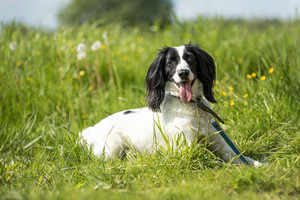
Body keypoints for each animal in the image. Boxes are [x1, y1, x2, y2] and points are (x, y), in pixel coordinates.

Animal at [81, 44, 262, 167]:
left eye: (190, 58)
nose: (183, 73)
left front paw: (262, 165)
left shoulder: (220, 144)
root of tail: (88, 131)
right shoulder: (186, 149)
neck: (191, 107)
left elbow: (243, 158)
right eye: (170, 62)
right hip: (114, 146)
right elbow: (211, 159)